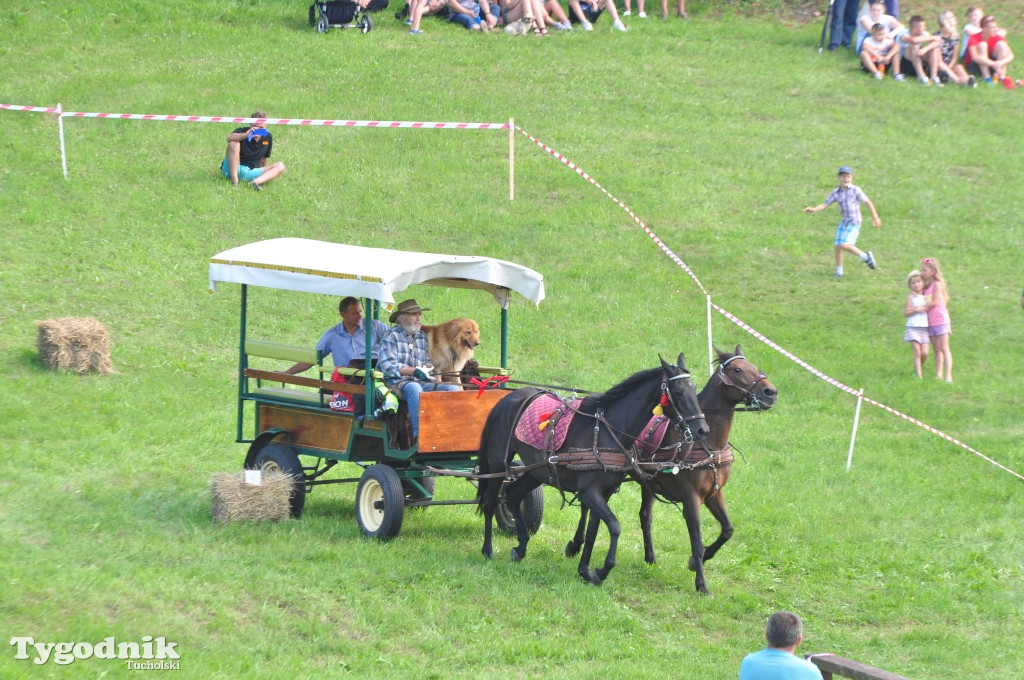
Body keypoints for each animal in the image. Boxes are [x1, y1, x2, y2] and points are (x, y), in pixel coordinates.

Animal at [475, 356, 708, 585]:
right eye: (678, 391)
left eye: (694, 388)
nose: (702, 430)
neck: (607, 431)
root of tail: (507, 399)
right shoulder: (589, 492)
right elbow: (614, 526)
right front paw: (602, 571)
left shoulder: (604, 492)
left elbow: (593, 532)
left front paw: (584, 570)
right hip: (497, 462)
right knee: (489, 501)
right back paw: (487, 549)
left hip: (537, 470)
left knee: (513, 493)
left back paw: (521, 546)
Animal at [569, 346, 774, 593]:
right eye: (737, 369)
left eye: (755, 366)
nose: (771, 392)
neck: (708, 444)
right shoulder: (691, 497)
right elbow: (696, 540)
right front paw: (701, 582)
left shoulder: (714, 493)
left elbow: (727, 530)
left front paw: (699, 560)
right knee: (587, 507)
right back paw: (575, 544)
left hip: (647, 483)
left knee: (644, 516)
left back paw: (650, 556)